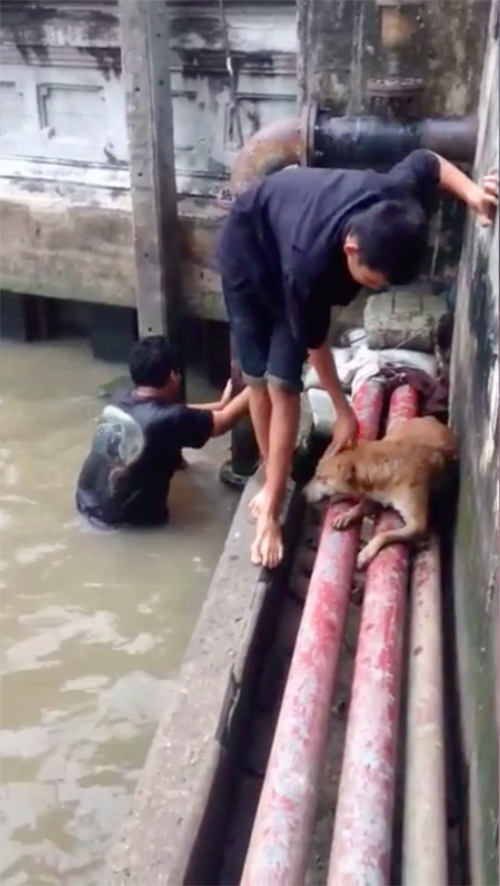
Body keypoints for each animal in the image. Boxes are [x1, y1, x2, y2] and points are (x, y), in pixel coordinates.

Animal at [304, 416, 458, 568]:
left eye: (320, 478)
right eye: (315, 474)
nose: (302, 493)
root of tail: (434, 419)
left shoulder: (418, 525)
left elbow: (384, 535)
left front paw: (365, 553)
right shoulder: (376, 497)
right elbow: (361, 506)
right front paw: (347, 515)